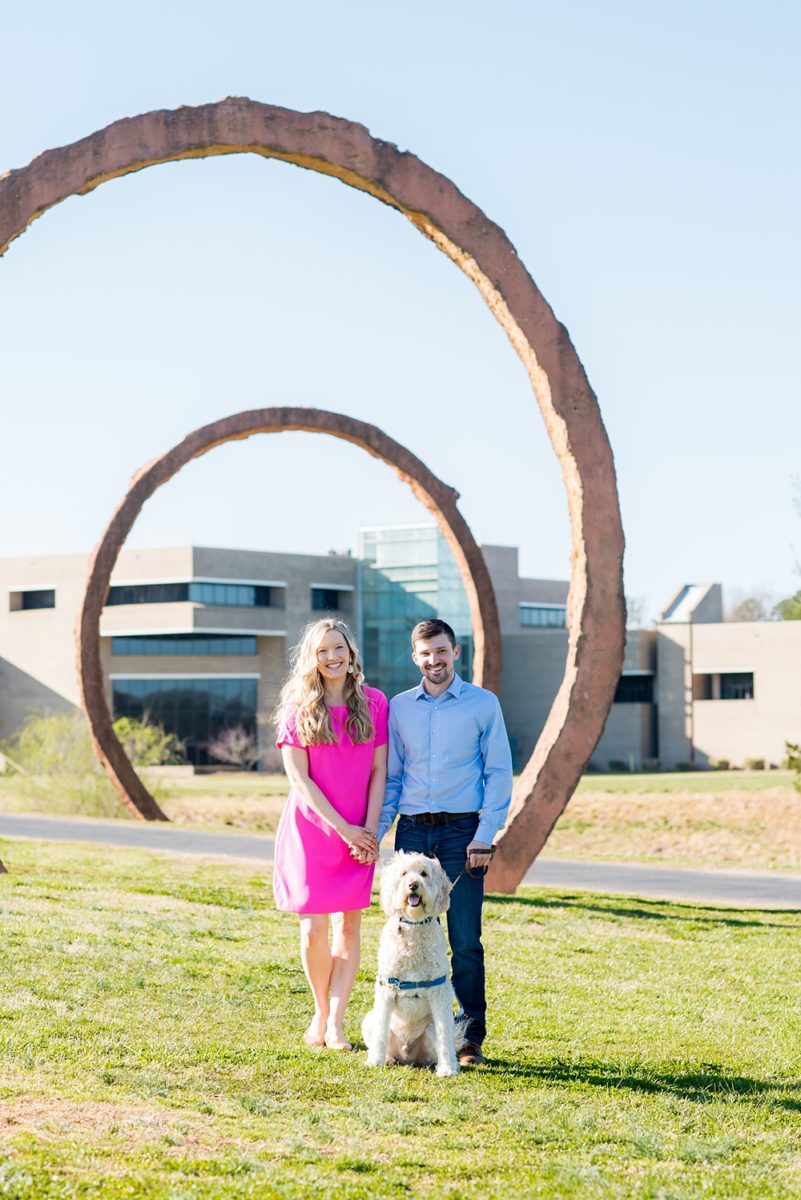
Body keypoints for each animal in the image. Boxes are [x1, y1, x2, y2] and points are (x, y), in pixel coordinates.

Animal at [362, 854, 462, 1080]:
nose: (413, 885)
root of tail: (406, 1054)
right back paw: (387, 1058)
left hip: (431, 1029)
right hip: (369, 1019)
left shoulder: (440, 992)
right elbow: (380, 1032)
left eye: (424, 873)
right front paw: (375, 1061)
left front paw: (448, 1069)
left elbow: (445, 1036)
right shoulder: (386, 989)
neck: (413, 929)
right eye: (404, 873)